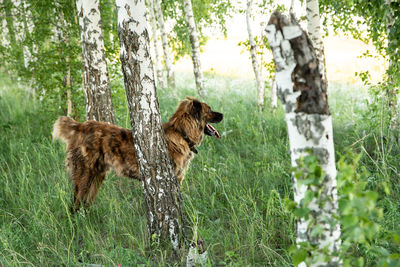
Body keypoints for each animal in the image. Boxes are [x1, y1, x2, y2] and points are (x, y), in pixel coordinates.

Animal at [52, 97, 223, 210]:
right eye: (209, 110)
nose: (222, 115)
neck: (181, 132)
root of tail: (81, 126)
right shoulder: (173, 177)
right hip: (85, 174)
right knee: (75, 203)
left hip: (97, 175)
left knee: (85, 202)